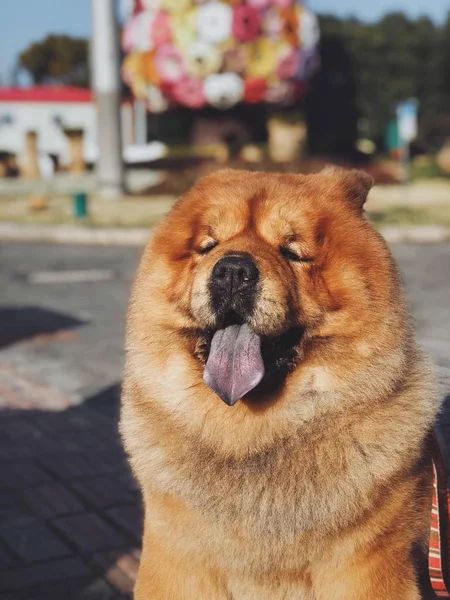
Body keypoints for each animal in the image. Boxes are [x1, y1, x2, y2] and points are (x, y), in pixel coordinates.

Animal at [121, 169, 438, 600]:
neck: (249, 435)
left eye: (292, 252)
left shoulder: (366, 567)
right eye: (208, 246)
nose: (231, 271)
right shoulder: (178, 561)